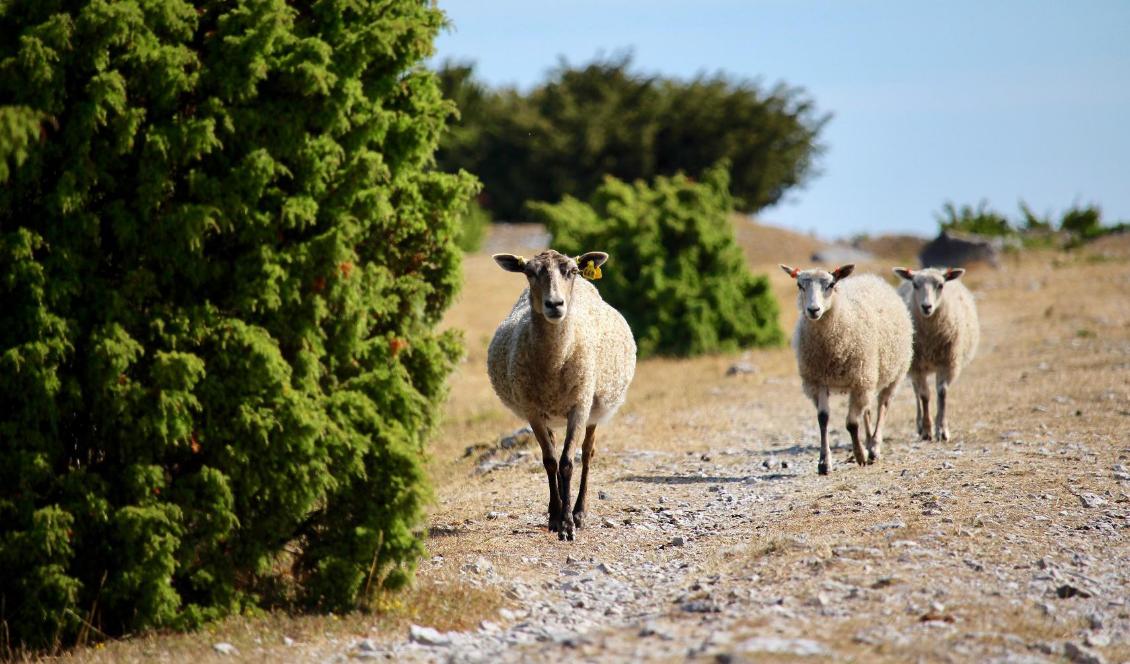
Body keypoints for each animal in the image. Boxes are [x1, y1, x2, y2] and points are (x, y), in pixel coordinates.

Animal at [490, 248, 641, 539]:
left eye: (570, 271)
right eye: (529, 272)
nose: (555, 304)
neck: (555, 362)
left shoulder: (579, 406)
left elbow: (569, 462)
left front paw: (569, 525)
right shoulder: (533, 411)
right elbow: (550, 461)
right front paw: (556, 517)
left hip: (593, 408)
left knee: (587, 453)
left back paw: (579, 511)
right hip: (548, 413)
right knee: (555, 454)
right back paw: (557, 509)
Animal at [781, 261, 913, 474]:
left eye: (830, 284)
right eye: (800, 285)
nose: (813, 310)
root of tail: (872, 278)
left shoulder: (859, 380)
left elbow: (851, 424)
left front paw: (860, 455)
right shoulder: (818, 381)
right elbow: (823, 419)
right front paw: (824, 463)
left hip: (892, 374)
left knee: (882, 406)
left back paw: (874, 448)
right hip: (869, 378)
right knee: (867, 410)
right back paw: (868, 441)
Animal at [890, 264, 980, 440]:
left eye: (941, 285)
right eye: (915, 285)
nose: (926, 307)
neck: (929, 337)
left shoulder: (948, 362)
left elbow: (942, 393)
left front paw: (942, 429)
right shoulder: (917, 366)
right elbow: (924, 395)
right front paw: (926, 429)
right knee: (916, 391)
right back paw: (919, 424)